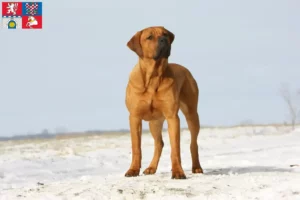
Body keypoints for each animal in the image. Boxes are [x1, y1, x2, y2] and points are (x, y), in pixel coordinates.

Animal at [124, 26, 204, 178]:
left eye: (165, 34)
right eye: (149, 37)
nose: (163, 40)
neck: (153, 76)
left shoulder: (172, 117)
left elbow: (175, 148)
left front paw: (178, 172)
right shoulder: (134, 117)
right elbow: (136, 147)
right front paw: (133, 170)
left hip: (192, 114)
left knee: (193, 142)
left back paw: (197, 167)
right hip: (154, 122)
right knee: (159, 143)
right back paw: (151, 168)